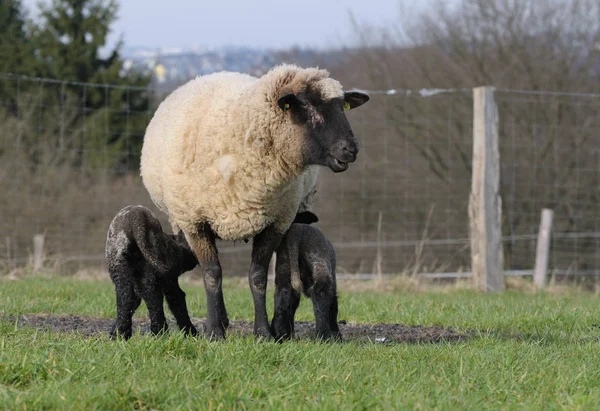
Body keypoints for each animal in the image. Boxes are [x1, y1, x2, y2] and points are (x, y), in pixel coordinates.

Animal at [106, 206, 199, 342]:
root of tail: (135, 217)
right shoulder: (169, 280)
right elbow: (177, 301)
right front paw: (192, 334)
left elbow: (134, 301)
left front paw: (114, 332)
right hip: (150, 263)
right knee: (153, 299)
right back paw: (160, 334)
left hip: (119, 265)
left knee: (125, 297)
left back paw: (121, 335)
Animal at [141, 63, 368, 342]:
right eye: (306, 105)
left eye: (341, 107)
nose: (351, 149)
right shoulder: (195, 222)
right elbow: (212, 274)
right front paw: (214, 331)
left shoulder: (275, 223)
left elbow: (258, 277)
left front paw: (262, 332)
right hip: (182, 219)